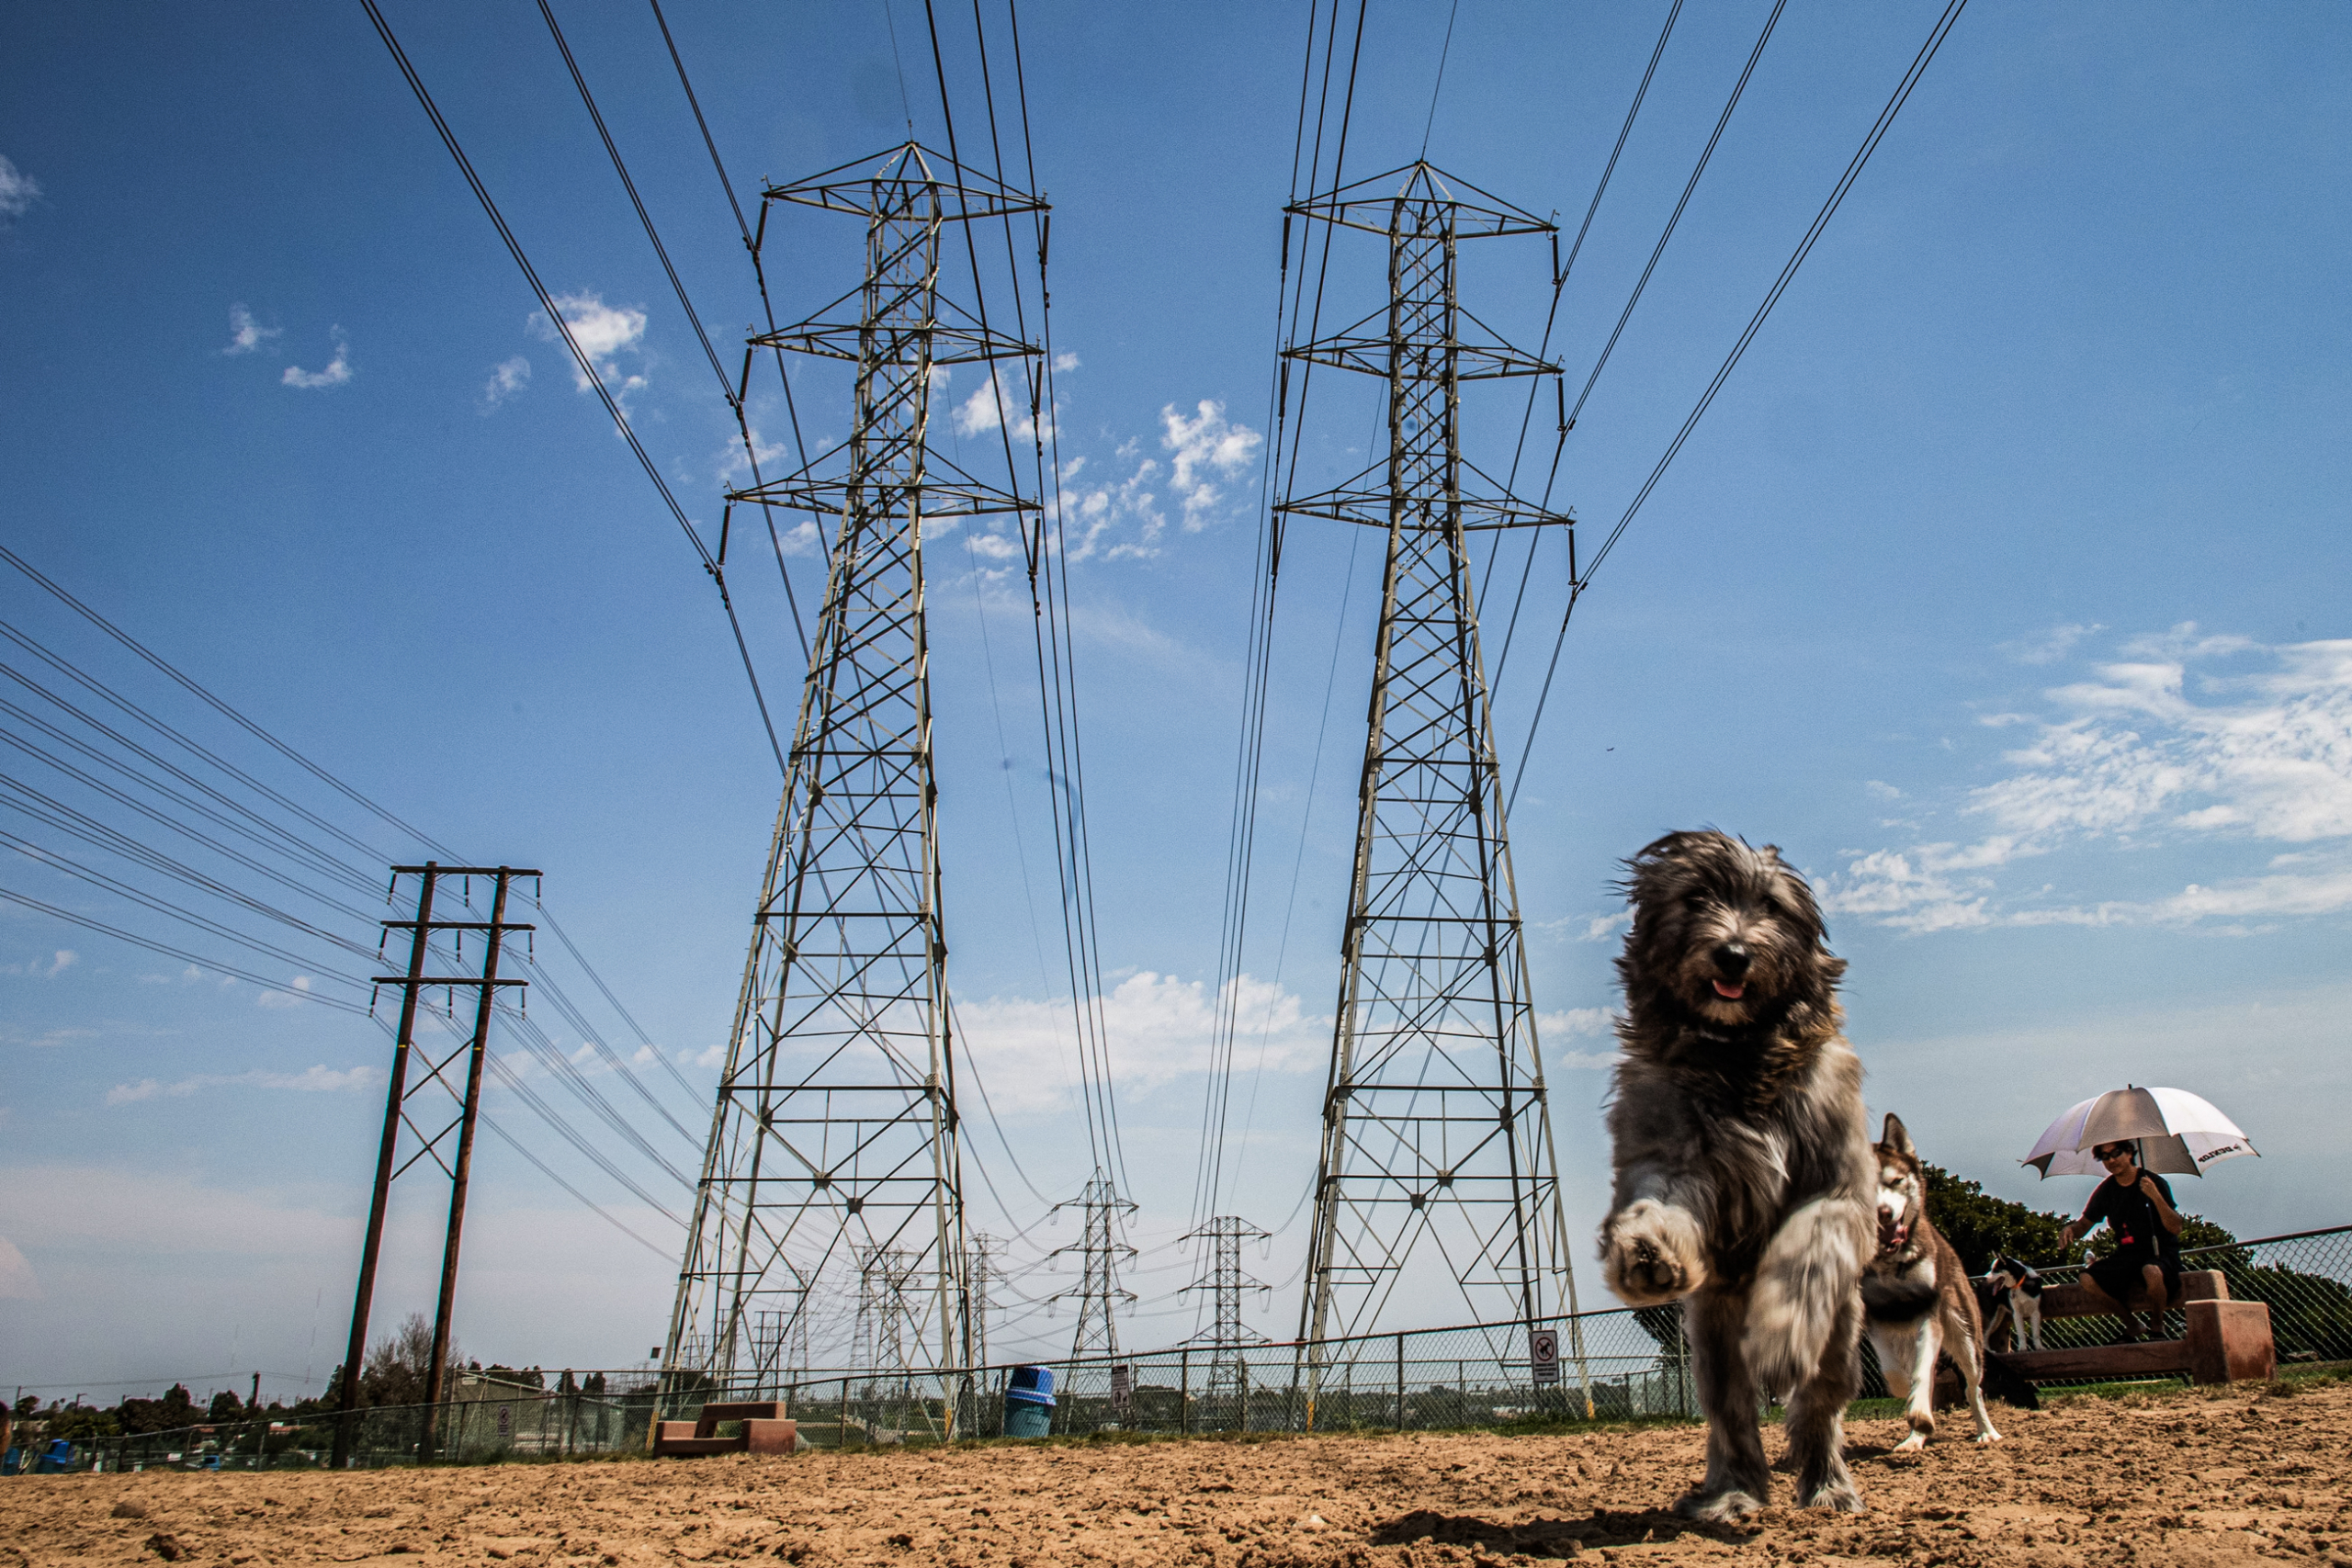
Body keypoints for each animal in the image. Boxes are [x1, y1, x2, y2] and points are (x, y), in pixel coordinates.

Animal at [1599, 831, 1871, 1523]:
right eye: (1696, 898)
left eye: (1770, 905)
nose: (1734, 952)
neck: (1738, 1056)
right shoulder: (1673, 1153)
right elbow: (1659, 1202)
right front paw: (1647, 1251)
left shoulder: (1835, 1186)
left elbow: (1805, 1253)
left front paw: (1777, 1334)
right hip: (1713, 1345)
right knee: (1732, 1417)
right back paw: (1732, 1493)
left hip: (1840, 1334)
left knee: (1818, 1406)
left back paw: (1827, 1485)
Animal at [1862, 1114, 1994, 1448]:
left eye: (1897, 1181)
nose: (1884, 1213)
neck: (1890, 1263)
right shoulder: (1874, 1318)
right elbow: (1894, 1372)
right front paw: (1907, 1397)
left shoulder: (1928, 1315)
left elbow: (1923, 1373)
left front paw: (1919, 1411)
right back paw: (1914, 1439)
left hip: (1965, 1334)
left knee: (1973, 1387)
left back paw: (1987, 1432)